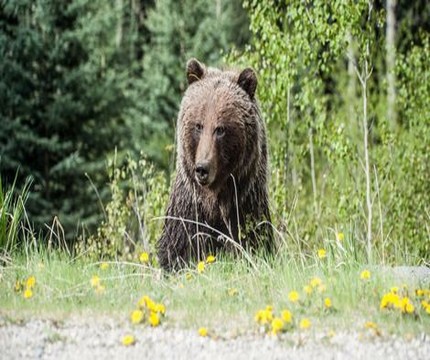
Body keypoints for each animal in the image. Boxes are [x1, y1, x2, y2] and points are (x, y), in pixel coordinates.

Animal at [158, 58, 272, 270]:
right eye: (198, 125)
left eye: (220, 129)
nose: (202, 169)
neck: (215, 200)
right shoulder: (188, 214)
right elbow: (177, 252)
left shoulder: (245, 207)